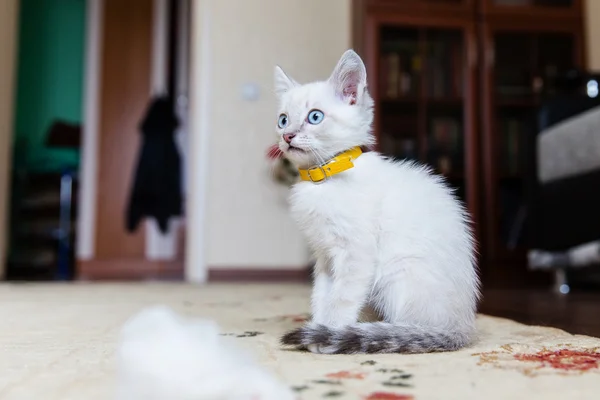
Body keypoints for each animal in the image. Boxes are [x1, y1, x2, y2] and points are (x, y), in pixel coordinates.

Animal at [276, 49, 478, 354]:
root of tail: (462, 327)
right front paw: (319, 327)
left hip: (397, 271)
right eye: (283, 120)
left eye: (315, 116)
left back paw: (384, 333)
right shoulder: (324, 255)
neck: (323, 179)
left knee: (412, 327)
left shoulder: (357, 252)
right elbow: (321, 294)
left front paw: (330, 332)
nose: (287, 136)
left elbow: (342, 297)